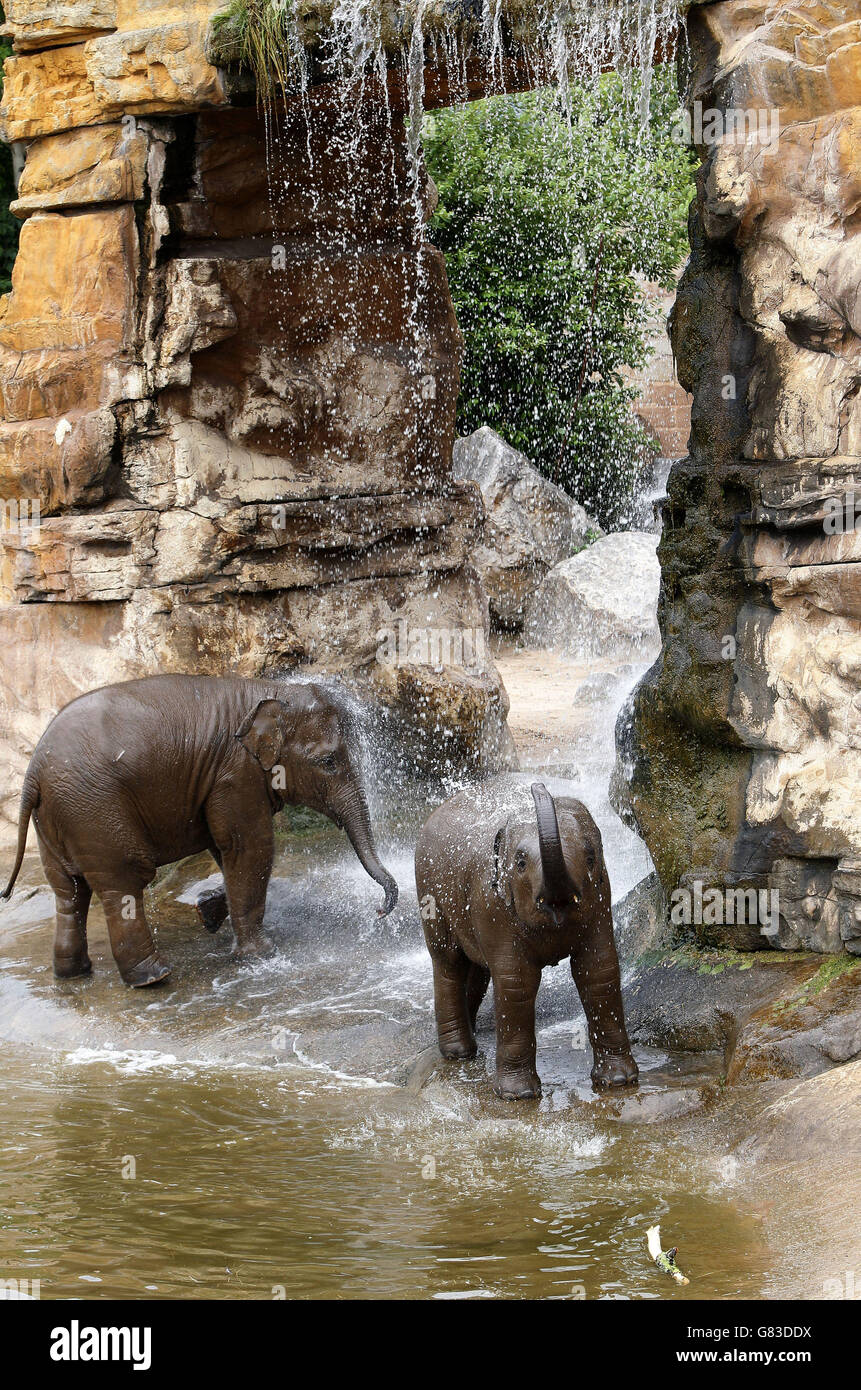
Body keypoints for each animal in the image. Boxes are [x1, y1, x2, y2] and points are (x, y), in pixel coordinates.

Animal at [1, 675, 397, 984]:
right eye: (328, 762)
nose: (379, 911)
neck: (270, 691)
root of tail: (33, 772)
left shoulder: (218, 782)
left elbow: (224, 848)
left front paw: (208, 913)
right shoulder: (236, 774)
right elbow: (251, 846)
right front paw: (261, 955)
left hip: (58, 817)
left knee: (69, 890)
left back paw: (73, 973)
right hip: (94, 808)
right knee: (123, 881)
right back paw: (153, 976)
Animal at [414, 778, 637, 1100]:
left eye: (591, 857)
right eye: (520, 863)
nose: (538, 786)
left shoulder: (600, 894)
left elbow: (598, 969)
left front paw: (618, 1081)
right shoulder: (491, 903)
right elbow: (517, 980)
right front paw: (517, 1096)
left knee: (477, 967)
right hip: (430, 892)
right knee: (448, 962)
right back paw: (459, 1053)